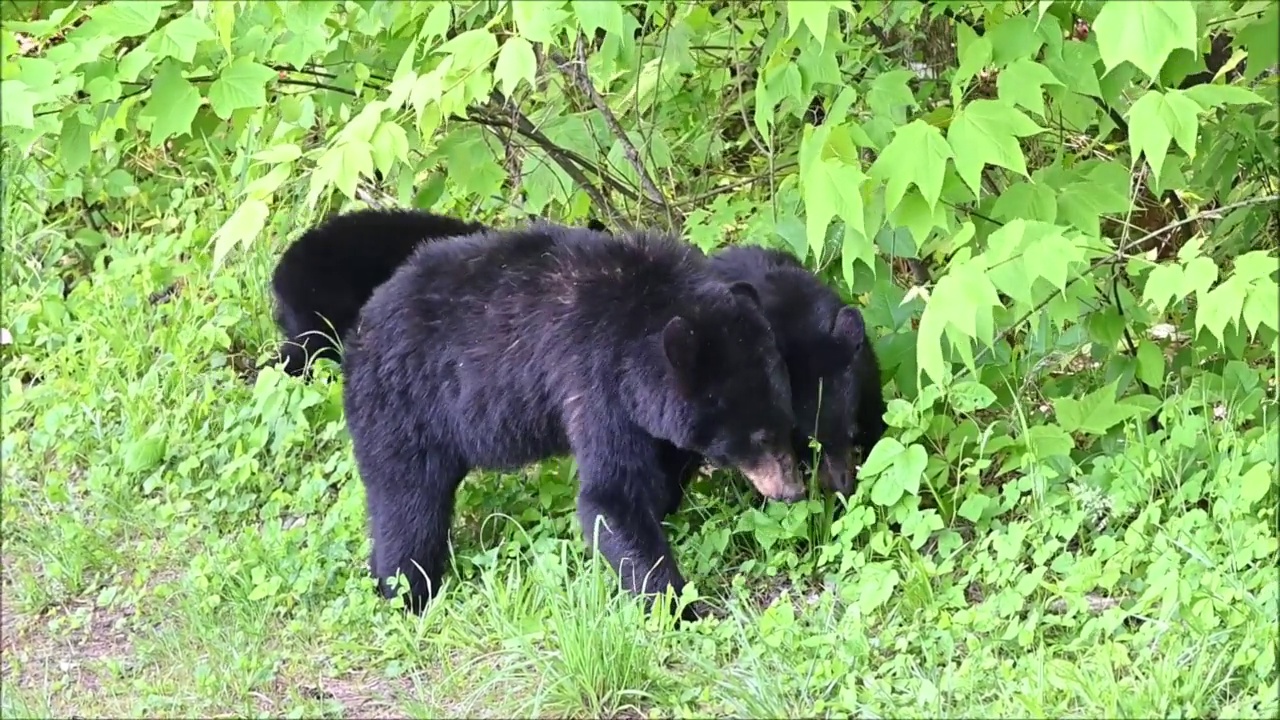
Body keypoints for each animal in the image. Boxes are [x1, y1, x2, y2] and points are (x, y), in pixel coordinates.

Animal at [340, 222, 798, 617]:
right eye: (759, 437)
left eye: (786, 420)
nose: (792, 491)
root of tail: (359, 328)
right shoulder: (592, 379)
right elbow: (611, 495)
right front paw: (678, 607)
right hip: (404, 408)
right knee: (408, 503)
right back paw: (406, 591)